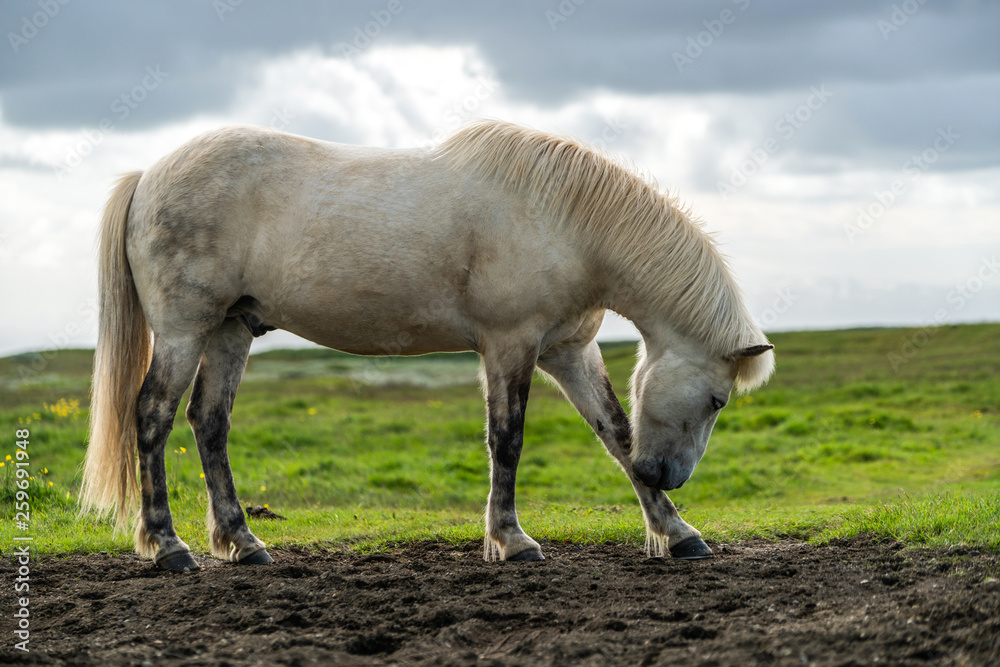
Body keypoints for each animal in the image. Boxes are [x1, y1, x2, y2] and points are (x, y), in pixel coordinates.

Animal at [82, 118, 776, 568]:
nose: (671, 475)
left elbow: (615, 432)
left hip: (229, 331)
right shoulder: (510, 346)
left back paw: (243, 543)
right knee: (153, 415)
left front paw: (676, 531)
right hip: (184, 330)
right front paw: (512, 541)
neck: (566, 224)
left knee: (209, 422)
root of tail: (148, 175)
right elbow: (508, 440)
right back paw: (168, 546)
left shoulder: (568, 351)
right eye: (717, 400)